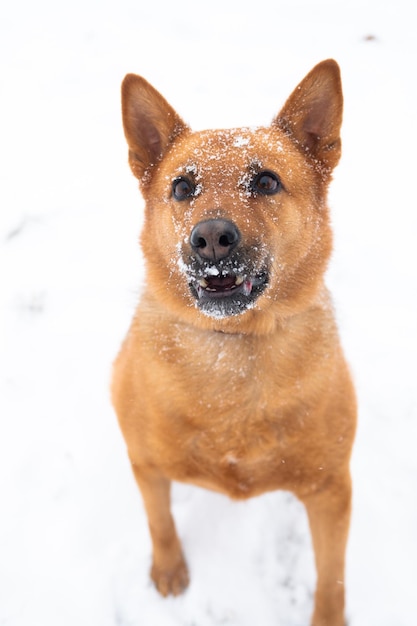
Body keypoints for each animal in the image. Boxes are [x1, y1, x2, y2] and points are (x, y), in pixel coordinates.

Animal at [112, 58, 356, 624]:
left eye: (266, 181)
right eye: (182, 187)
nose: (211, 239)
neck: (236, 347)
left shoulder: (332, 489)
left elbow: (330, 577)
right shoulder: (146, 465)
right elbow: (159, 521)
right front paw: (169, 569)